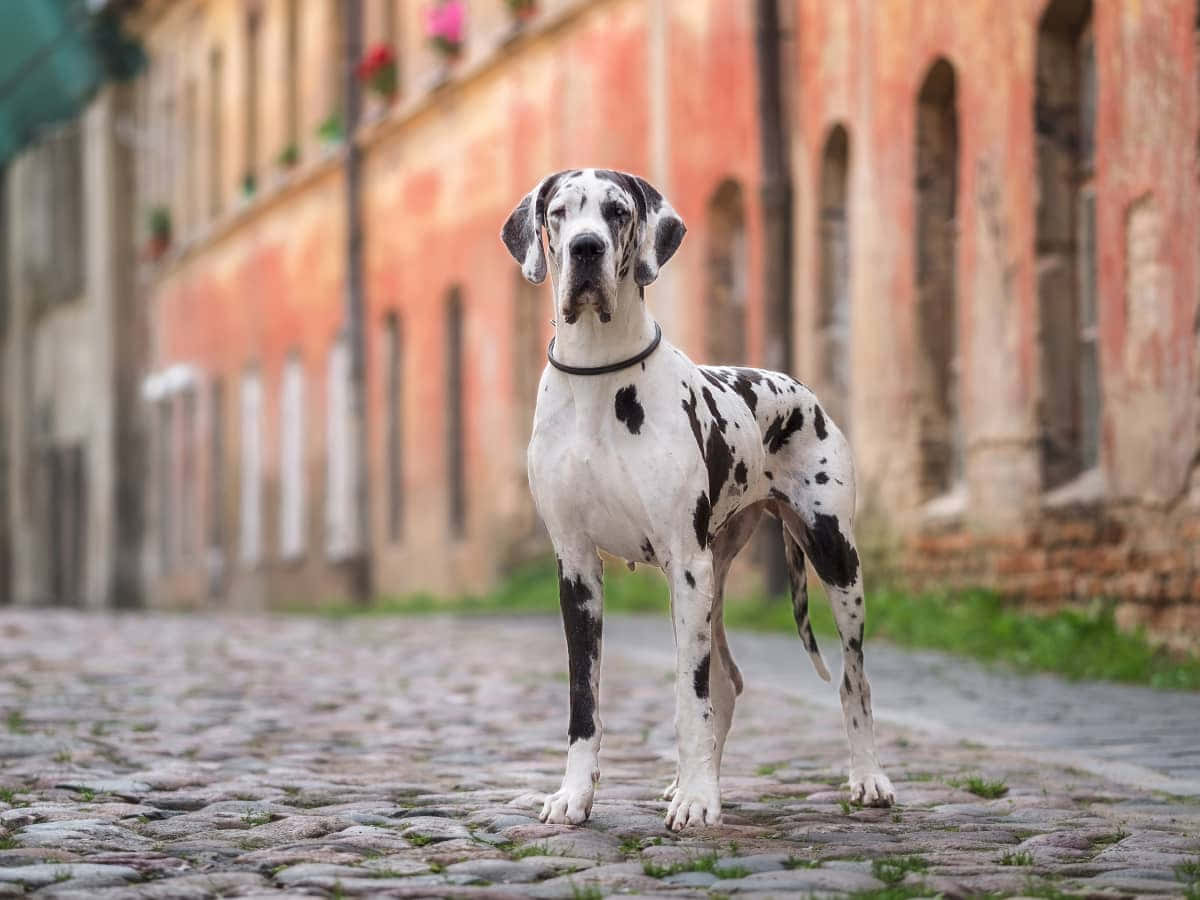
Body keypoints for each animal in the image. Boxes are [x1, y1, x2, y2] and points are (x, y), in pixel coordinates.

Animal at [496, 168, 892, 830]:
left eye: (617, 211)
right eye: (558, 213)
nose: (585, 249)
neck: (599, 379)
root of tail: (797, 386)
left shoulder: (686, 564)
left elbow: (689, 697)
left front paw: (700, 800)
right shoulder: (576, 567)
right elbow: (585, 701)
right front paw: (574, 796)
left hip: (833, 559)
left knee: (849, 679)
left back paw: (867, 779)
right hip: (716, 580)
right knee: (727, 682)